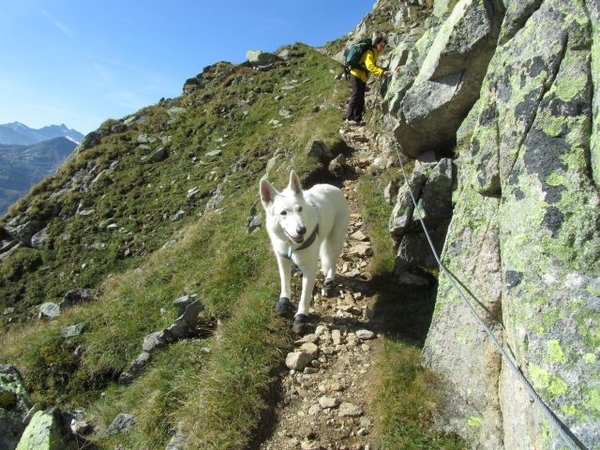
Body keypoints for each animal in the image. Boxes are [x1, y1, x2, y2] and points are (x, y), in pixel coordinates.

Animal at [258, 171, 352, 332]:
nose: (302, 230)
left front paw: (301, 316)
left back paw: (329, 279)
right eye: (283, 213)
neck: (291, 244)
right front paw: (284, 301)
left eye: (300, 209)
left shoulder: (309, 268)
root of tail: (333, 187)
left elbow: (305, 294)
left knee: (332, 262)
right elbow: (284, 282)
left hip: (335, 240)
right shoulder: (282, 261)